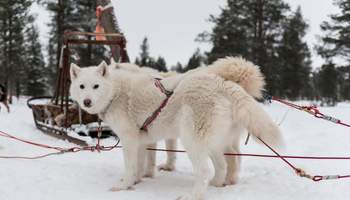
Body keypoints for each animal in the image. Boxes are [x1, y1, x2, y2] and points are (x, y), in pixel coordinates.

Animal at [69, 57, 282, 199]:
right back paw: (217, 184)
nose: (87, 101)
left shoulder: (130, 141)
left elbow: (131, 167)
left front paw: (123, 186)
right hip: (213, 143)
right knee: (223, 164)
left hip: (192, 141)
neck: (115, 92)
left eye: (96, 86)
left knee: (205, 170)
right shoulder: (141, 141)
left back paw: (193, 195)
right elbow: (139, 166)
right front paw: (136, 182)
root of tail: (223, 83)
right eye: (82, 86)